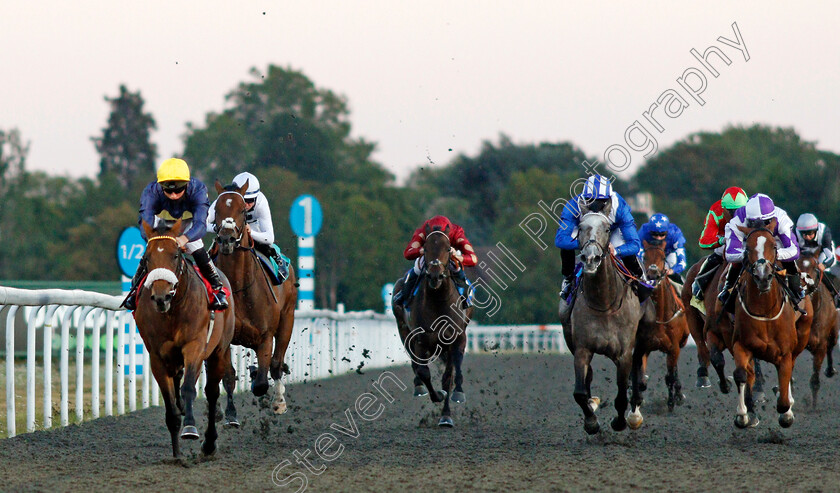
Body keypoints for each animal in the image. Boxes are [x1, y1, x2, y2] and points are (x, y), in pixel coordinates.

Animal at [135, 220, 235, 458]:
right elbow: (170, 401)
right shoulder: (157, 356)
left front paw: (189, 428)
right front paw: (177, 453)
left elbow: (189, 388)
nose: (161, 297)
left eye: (175, 255)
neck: (173, 311)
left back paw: (209, 443)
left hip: (219, 350)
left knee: (211, 392)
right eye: (147, 258)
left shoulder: (194, 347)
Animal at [213, 179, 298, 414]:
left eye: (243, 209)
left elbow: (261, 382)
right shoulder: (224, 339)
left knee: (276, 364)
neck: (239, 287)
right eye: (216, 209)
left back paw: (279, 400)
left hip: (287, 320)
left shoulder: (265, 336)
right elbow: (227, 376)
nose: (227, 239)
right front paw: (229, 414)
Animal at [394, 223, 472, 426]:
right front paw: (436, 394)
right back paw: (418, 387)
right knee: (415, 365)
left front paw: (448, 410)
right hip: (404, 332)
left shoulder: (457, 338)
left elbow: (450, 376)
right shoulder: (421, 340)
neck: (438, 301)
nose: (435, 276)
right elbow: (424, 371)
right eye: (426, 248)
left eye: (448, 248)